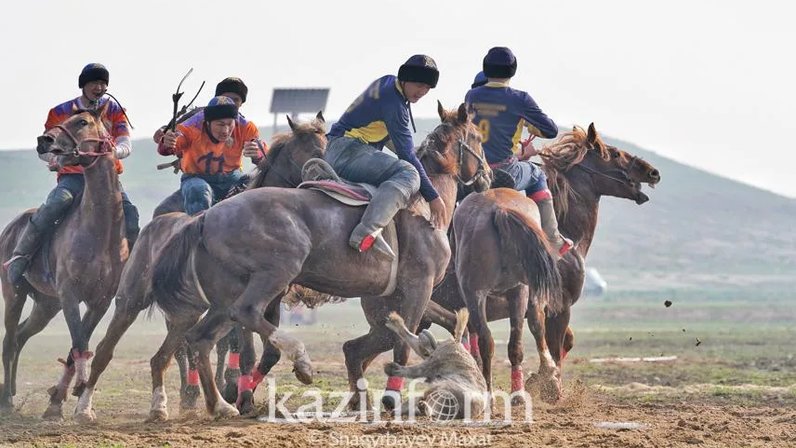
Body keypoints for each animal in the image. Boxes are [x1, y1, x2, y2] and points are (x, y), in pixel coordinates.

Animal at [0, 106, 129, 420]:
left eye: (82, 122)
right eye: (61, 120)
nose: (43, 140)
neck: (100, 230)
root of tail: (9, 228)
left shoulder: (99, 301)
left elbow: (77, 345)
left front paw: (63, 400)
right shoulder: (70, 294)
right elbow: (79, 341)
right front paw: (73, 395)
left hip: (47, 305)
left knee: (21, 335)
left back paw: (10, 390)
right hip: (14, 294)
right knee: (9, 341)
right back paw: (6, 401)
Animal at [71, 115, 326, 424]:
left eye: (324, 148)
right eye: (304, 152)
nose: (324, 180)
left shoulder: (270, 299)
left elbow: (268, 354)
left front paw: (242, 394)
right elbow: (246, 352)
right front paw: (239, 396)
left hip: (186, 311)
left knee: (164, 355)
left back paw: (161, 406)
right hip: (130, 301)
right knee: (107, 351)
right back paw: (85, 408)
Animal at [146, 101, 488, 416]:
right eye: (477, 137)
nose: (487, 174)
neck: (424, 207)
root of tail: (206, 218)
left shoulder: (393, 296)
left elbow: (411, 331)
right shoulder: (418, 286)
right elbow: (402, 343)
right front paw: (391, 397)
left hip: (226, 296)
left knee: (201, 338)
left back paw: (220, 404)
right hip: (274, 274)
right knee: (244, 314)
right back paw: (296, 364)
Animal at [422, 122, 660, 400]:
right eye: (613, 153)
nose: (652, 172)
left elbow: (563, 341)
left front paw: (540, 380)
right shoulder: (559, 307)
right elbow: (558, 344)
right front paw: (549, 384)